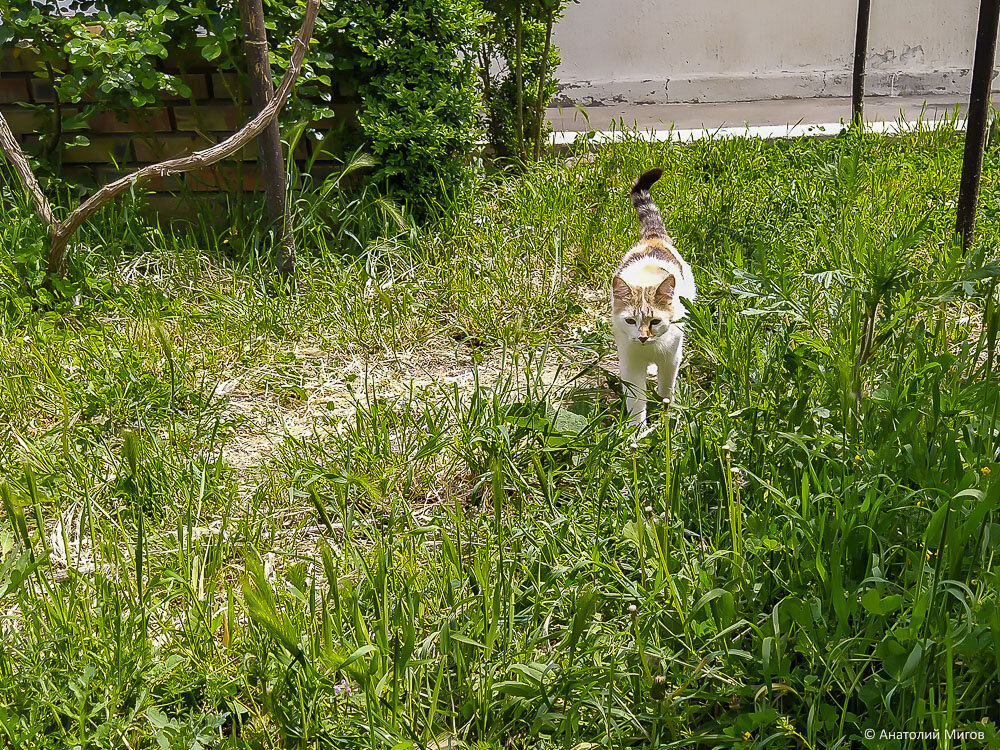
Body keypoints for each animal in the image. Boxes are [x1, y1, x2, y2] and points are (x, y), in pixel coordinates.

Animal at [608, 171, 696, 428]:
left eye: (655, 321)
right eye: (630, 321)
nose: (643, 337)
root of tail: (653, 238)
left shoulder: (671, 360)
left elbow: (667, 391)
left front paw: (667, 420)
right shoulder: (630, 365)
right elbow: (636, 403)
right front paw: (636, 431)